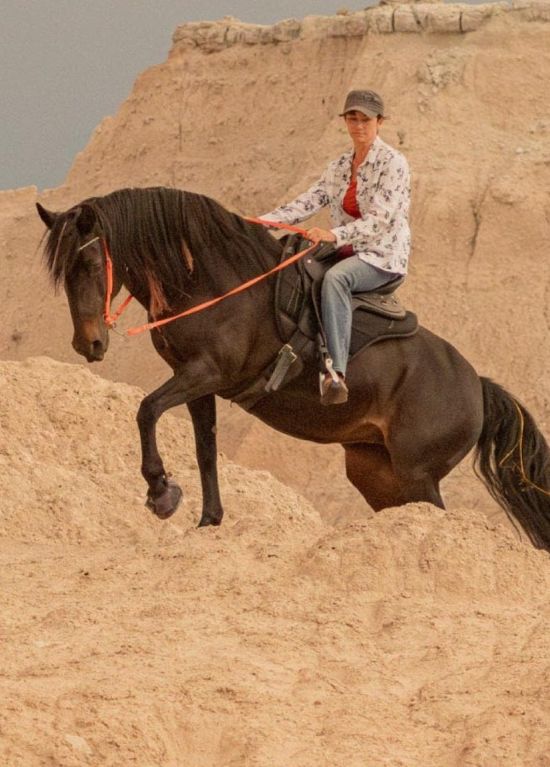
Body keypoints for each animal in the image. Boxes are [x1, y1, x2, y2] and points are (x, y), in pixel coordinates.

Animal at [36, 186, 550, 550]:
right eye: (61, 271)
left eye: (89, 261)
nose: (88, 343)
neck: (211, 283)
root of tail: (475, 384)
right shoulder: (197, 385)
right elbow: (205, 450)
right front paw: (208, 519)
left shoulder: (205, 374)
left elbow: (146, 410)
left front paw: (161, 492)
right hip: (378, 474)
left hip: (417, 475)